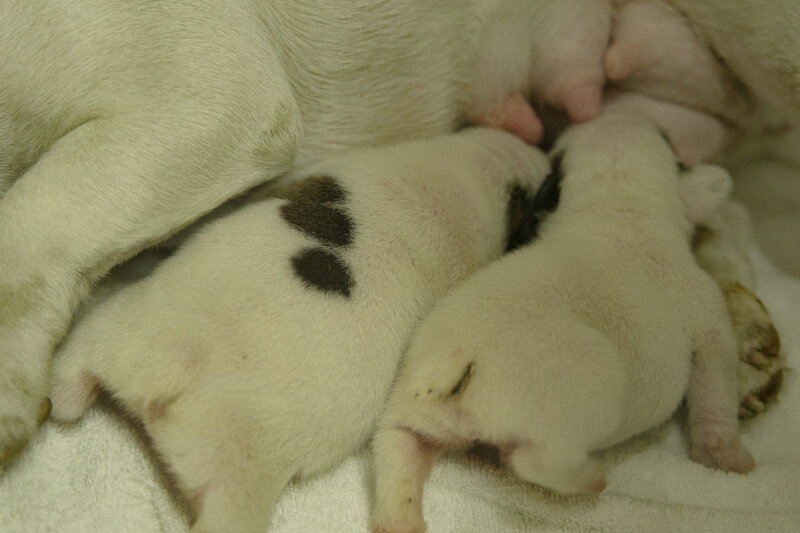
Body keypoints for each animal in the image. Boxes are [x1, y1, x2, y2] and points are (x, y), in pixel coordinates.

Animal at [372, 111, 752, 532]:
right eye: (669, 140)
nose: (619, 111)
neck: (617, 202)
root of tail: (455, 357)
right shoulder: (706, 309)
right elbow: (716, 385)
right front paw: (727, 456)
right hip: (584, 380)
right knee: (536, 460)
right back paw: (588, 478)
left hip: (414, 408)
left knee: (399, 448)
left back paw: (399, 520)